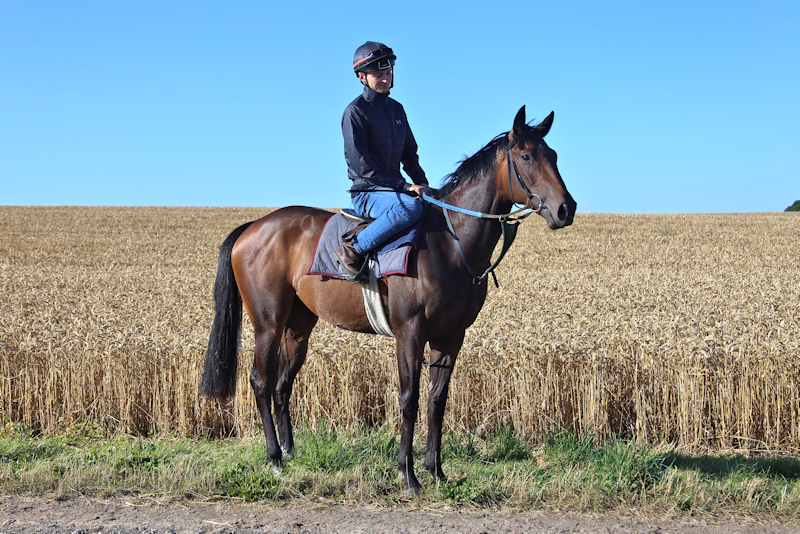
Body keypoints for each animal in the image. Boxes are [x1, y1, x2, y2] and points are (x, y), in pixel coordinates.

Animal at [200, 106, 576, 495]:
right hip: (268, 323)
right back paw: (274, 458)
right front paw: (408, 475)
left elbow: (437, 401)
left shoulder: (451, 336)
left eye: (553, 155)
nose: (566, 209)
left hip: (298, 325)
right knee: (260, 382)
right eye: (527, 156)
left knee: (281, 385)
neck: (450, 241)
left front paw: (435, 470)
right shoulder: (409, 333)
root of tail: (253, 226)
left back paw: (289, 453)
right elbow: (409, 399)